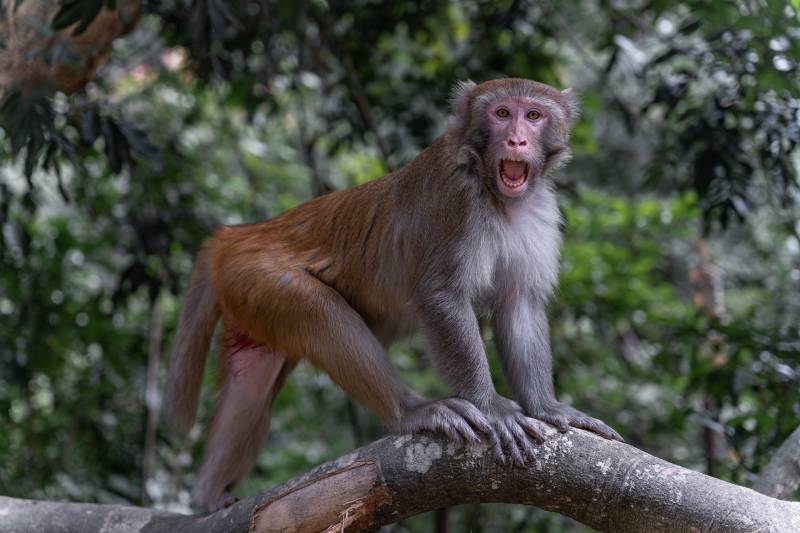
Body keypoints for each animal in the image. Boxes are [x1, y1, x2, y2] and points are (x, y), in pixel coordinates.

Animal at [164, 77, 623, 512]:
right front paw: (491, 405)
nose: (516, 141)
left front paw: (547, 407)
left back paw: (208, 495)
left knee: (252, 379)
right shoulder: (456, 202)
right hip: (259, 276)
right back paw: (412, 411)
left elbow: (519, 306)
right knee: (319, 313)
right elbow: (442, 297)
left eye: (533, 115)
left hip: (248, 296)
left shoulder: (540, 215)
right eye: (502, 113)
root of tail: (237, 235)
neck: (496, 195)